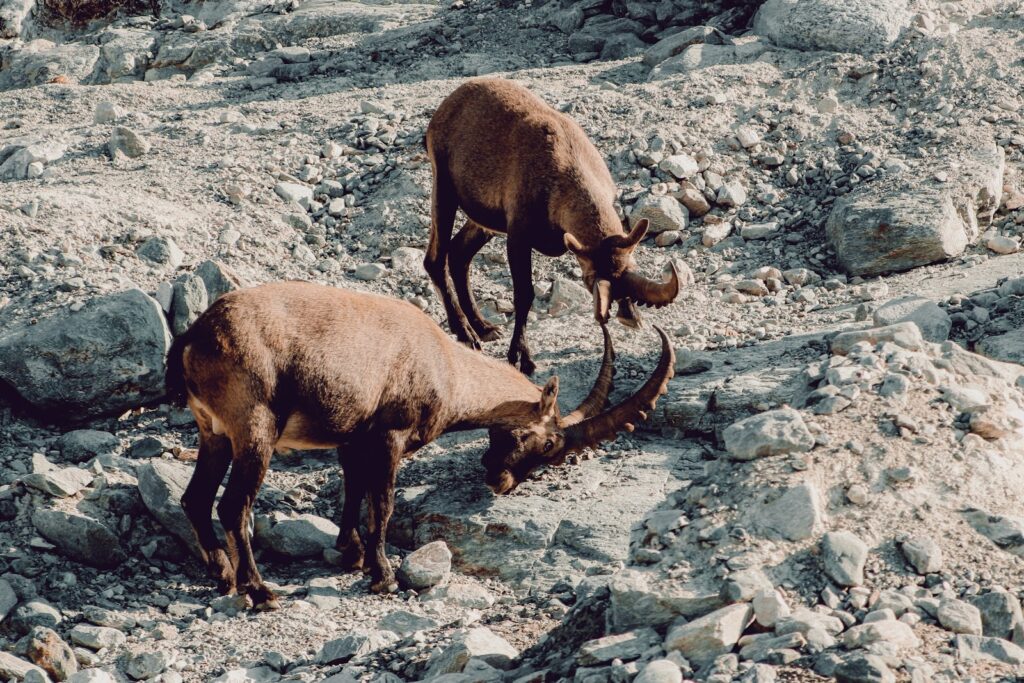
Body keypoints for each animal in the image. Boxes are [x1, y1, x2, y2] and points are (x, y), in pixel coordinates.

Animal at [165, 281, 674, 609]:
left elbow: (354, 493)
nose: (501, 481)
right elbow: (383, 504)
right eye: (550, 443)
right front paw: (384, 576)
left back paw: (222, 575)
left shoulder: (354, 438)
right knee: (232, 505)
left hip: (214, 433)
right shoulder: (389, 436)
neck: (446, 365)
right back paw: (259, 591)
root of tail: (194, 336)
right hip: (255, 431)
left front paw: (352, 554)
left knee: (195, 499)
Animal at [424, 77, 681, 376]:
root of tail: (445, 107)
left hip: (484, 221)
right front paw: (521, 357)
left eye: (629, 268)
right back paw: (466, 333)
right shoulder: (518, 234)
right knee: (435, 259)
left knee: (459, 253)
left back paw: (484, 327)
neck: (564, 167)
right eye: (590, 279)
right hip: (444, 190)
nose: (627, 316)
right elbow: (524, 294)